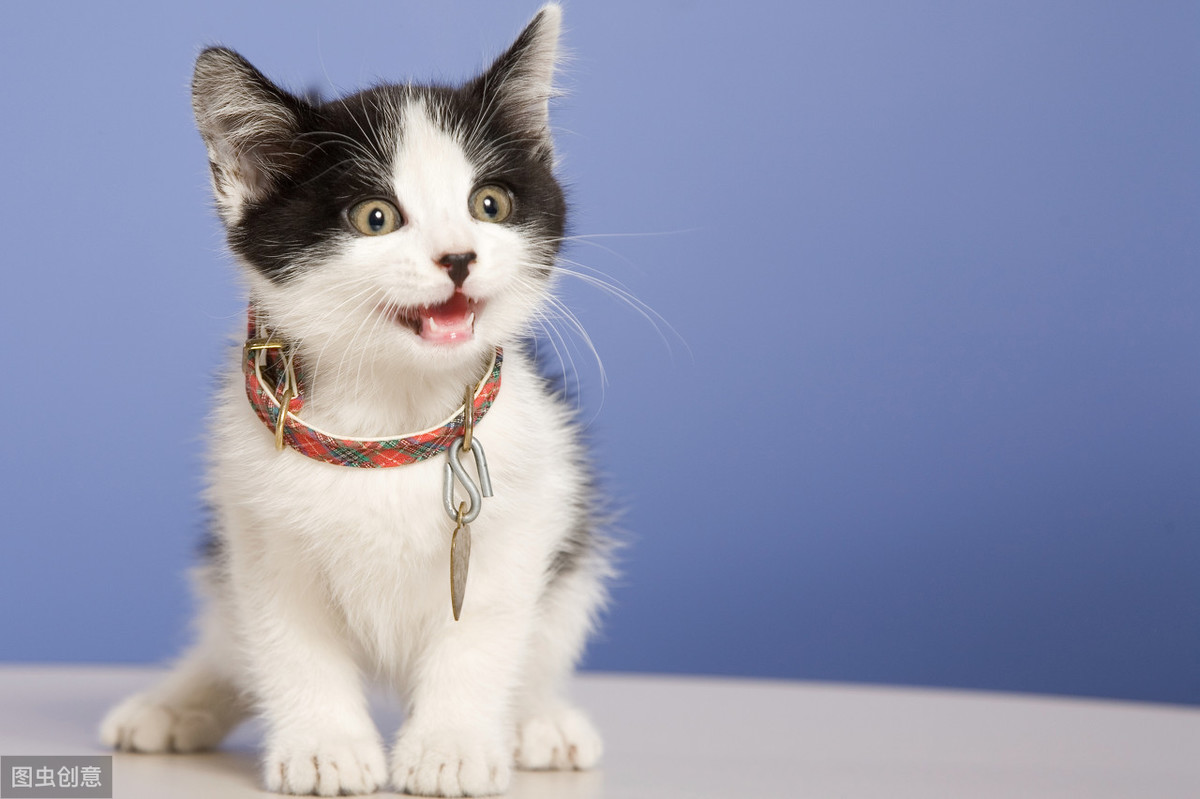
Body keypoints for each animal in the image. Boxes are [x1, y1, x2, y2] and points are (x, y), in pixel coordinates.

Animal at [99, 4, 614, 791]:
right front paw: (325, 747)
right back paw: (178, 701)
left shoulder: (524, 514)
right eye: (376, 217)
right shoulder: (259, 529)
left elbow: (483, 638)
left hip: (574, 559)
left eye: (489, 204)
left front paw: (452, 746)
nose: (459, 257)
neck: (393, 408)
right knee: (230, 643)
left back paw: (538, 719)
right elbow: (289, 643)